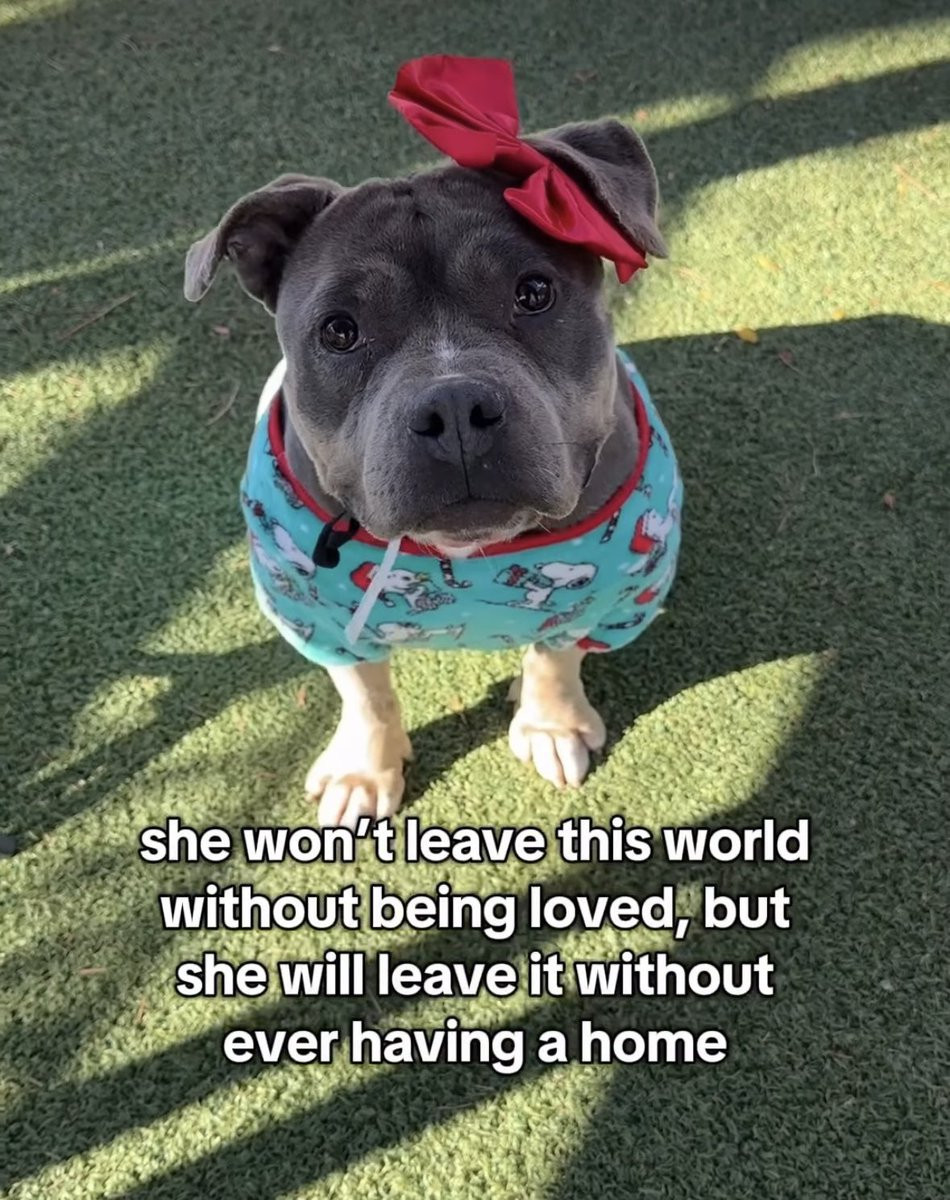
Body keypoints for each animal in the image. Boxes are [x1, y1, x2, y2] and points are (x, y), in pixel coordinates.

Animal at [184, 55, 682, 827]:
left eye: (534, 292)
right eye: (339, 330)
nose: (453, 406)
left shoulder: (612, 588)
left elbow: (556, 651)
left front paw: (551, 722)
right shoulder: (315, 612)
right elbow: (365, 692)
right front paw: (365, 768)